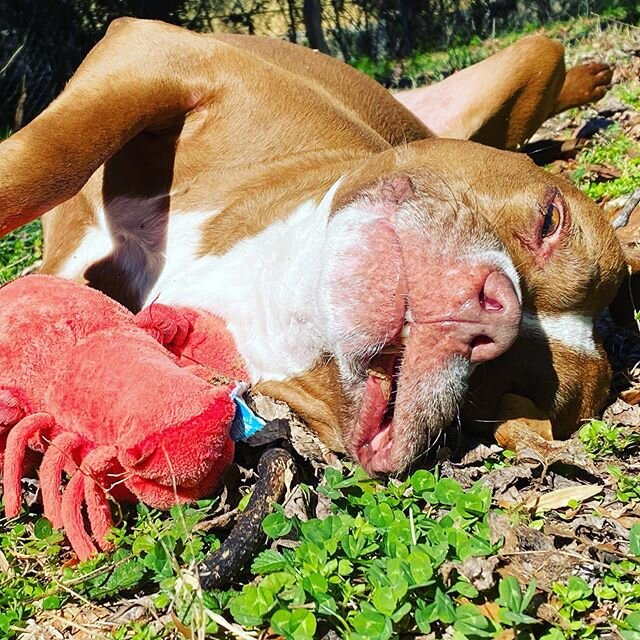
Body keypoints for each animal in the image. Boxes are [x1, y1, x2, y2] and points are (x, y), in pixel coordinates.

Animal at [0, 17, 628, 476]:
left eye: (499, 392)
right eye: (551, 219)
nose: (492, 317)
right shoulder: (157, 54)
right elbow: (46, 164)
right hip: (528, 60)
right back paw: (588, 83)